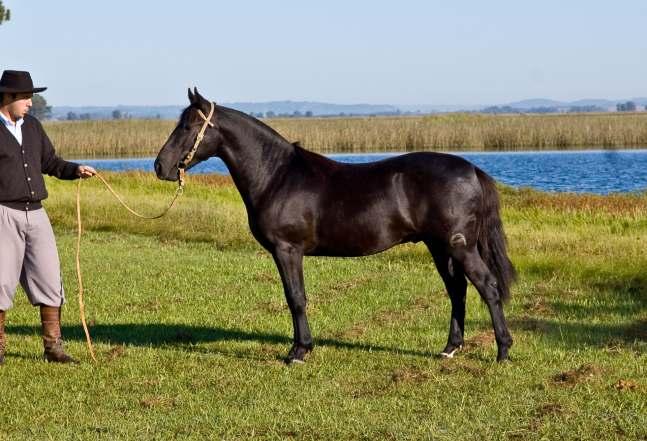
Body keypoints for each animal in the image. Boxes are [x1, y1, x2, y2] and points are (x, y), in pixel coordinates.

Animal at [157, 88, 516, 360]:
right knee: (458, 291)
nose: (160, 166)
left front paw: (299, 351)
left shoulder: (287, 250)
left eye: (188, 126)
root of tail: (471, 170)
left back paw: (502, 350)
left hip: (459, 246)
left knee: (487, 287)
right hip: (440, 247)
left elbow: (295, 297)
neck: (277, 176)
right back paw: (450, 349)